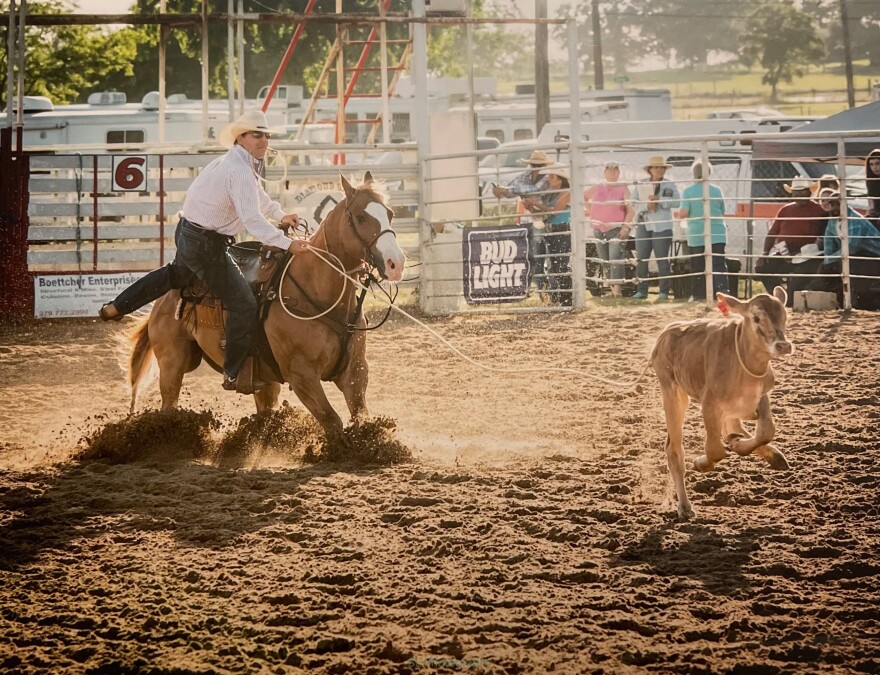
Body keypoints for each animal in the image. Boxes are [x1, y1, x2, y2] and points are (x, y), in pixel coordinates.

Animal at [125, 172, 408, 446]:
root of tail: (166, 296)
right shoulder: (301, 375)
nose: (396, 264)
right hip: (173, 362)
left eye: (390, 214)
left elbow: (361, 416)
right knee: (168, 404)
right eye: (361, 217)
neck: (316, 292)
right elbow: (332, 420)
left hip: (263, 381)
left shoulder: (356, 371)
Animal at [652, 288, 792, 520]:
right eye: (756, 317)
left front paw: (759, 451)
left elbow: (765, 431)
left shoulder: (761, 395)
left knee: (733, 428)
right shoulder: (709, 405)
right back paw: (685, 506)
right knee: (674, 451)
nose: (783, 345)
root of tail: (664, 334)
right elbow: (715, 450)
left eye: (784, 315)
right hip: (673, 394)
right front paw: (701, 463)